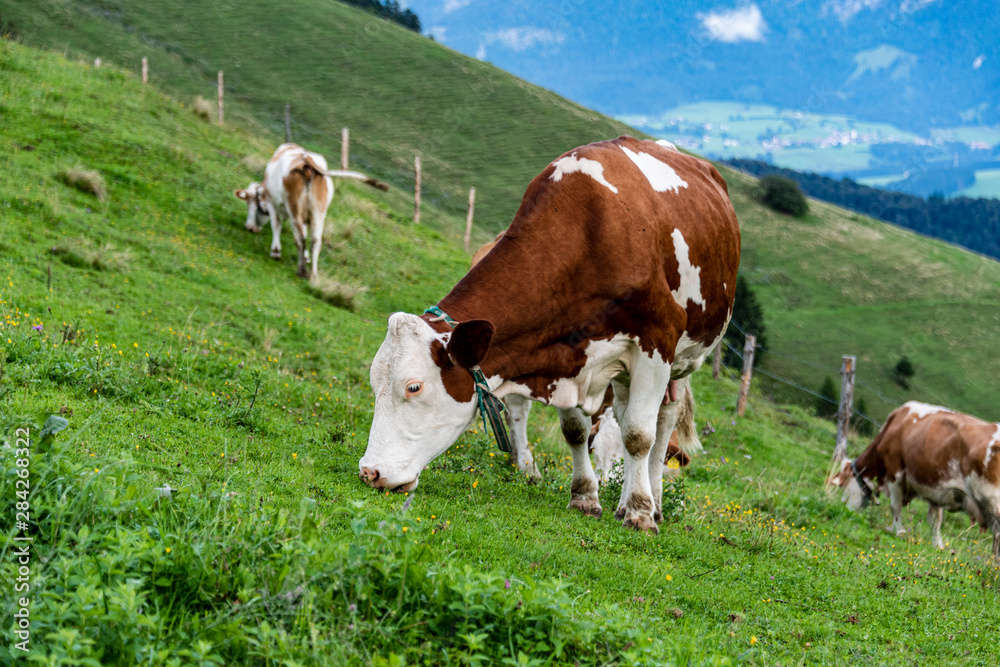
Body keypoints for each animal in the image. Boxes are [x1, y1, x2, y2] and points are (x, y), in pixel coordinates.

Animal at [236, 145, 388, 280]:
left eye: (251, 203)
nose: (249, 227)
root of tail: (306, 161)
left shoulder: (272, 204)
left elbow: (276, 226)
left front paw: (275, 252)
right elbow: (304, 233)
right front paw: (306, 257)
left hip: (295, 210)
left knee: (300, 239)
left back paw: (301, 271)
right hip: (318, 213)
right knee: (315, 241)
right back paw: (313, 275)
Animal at [356, 136, 740, 532]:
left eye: (414, 387)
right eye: (374, 382)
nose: (370, 472)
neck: (588, 235)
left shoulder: (657, 340)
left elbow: (638, 435)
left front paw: (640, 513)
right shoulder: (567, 355)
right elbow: (576, 430)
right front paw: (585, 497)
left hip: (684, 358)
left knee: (663, 425)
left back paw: (654, 502)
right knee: (622, 410)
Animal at [828, 402, 1000, 564]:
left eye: (844, 487)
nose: (845, 511)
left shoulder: (895, 471)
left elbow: (895, 507)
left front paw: (898, 531)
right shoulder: (937, 489)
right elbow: (935, 520)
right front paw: (937, 545)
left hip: (992, 500)